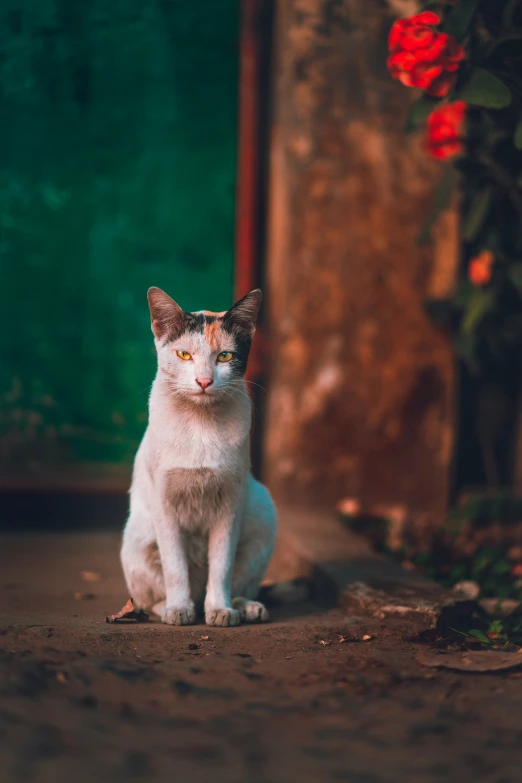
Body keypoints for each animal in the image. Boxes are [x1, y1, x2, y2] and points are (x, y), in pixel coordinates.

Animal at [120, 284, 276, 628]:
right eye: (184, 355)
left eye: (225, 356)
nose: (204, 380)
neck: (199, 424)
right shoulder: (164, 504)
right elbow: (175, 567)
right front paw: (179, 609)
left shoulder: (230, 504)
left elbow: (222, 565)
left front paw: (220, 609)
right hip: (137, 539)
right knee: (149, 598)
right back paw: (172, 605)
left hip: (263, 515)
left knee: (234, 581)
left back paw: (244, 607)